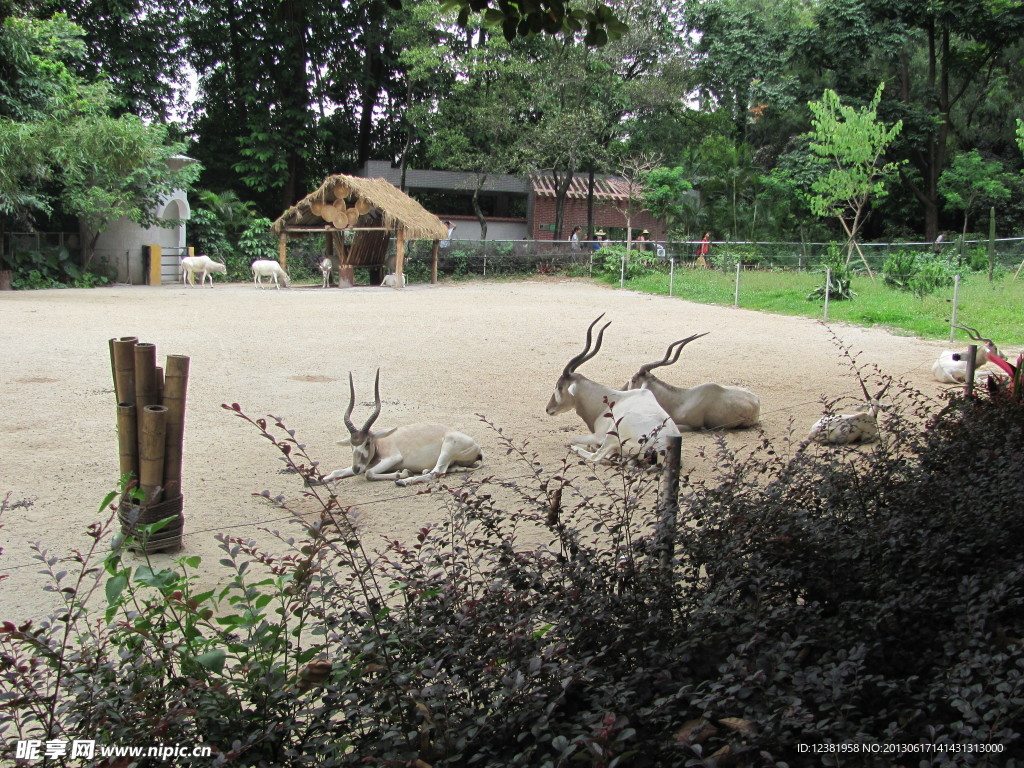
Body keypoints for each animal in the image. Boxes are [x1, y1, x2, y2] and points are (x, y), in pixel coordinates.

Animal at [321, 370, 481, 487]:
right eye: (351, 445)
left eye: (367, 442)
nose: (356, 469)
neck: (380, 443)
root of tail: (477, 447)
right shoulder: (365, 464)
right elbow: (337, 471)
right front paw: (318, 480)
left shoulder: (392, 458)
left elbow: (369, 473)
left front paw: (403, 473)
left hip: (447, 450)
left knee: (436, 473)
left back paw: (403, 481)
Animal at [544, 313, 679, 462]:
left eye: (559, 386)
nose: (548, 409)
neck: (605, 401)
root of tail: (662, 450)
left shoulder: (598, 435)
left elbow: (574, 439)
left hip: (614, 431)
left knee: (597, 455)